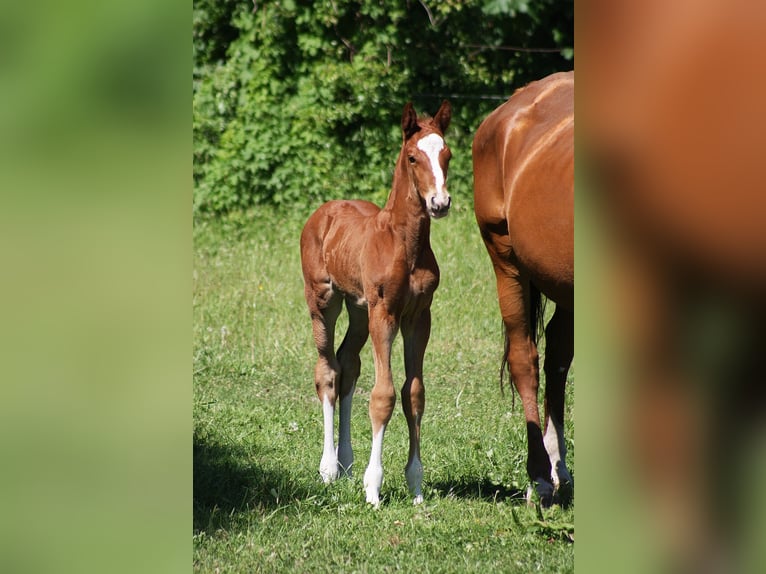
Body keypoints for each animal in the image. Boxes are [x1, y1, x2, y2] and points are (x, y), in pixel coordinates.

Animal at [300, 100, 452, 507]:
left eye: (446, 154)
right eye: (413, 157)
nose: (440, 202)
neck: (404, 243)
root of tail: (324, 210)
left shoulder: (419, 317)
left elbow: (414, 394)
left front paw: (416, 486)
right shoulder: (385, 313)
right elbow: (383, 395)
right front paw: (374, 488)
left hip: (357, 309)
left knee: (347, 364)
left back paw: (346, 464)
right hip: (324, 300)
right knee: (327, 371)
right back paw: (328, 469)